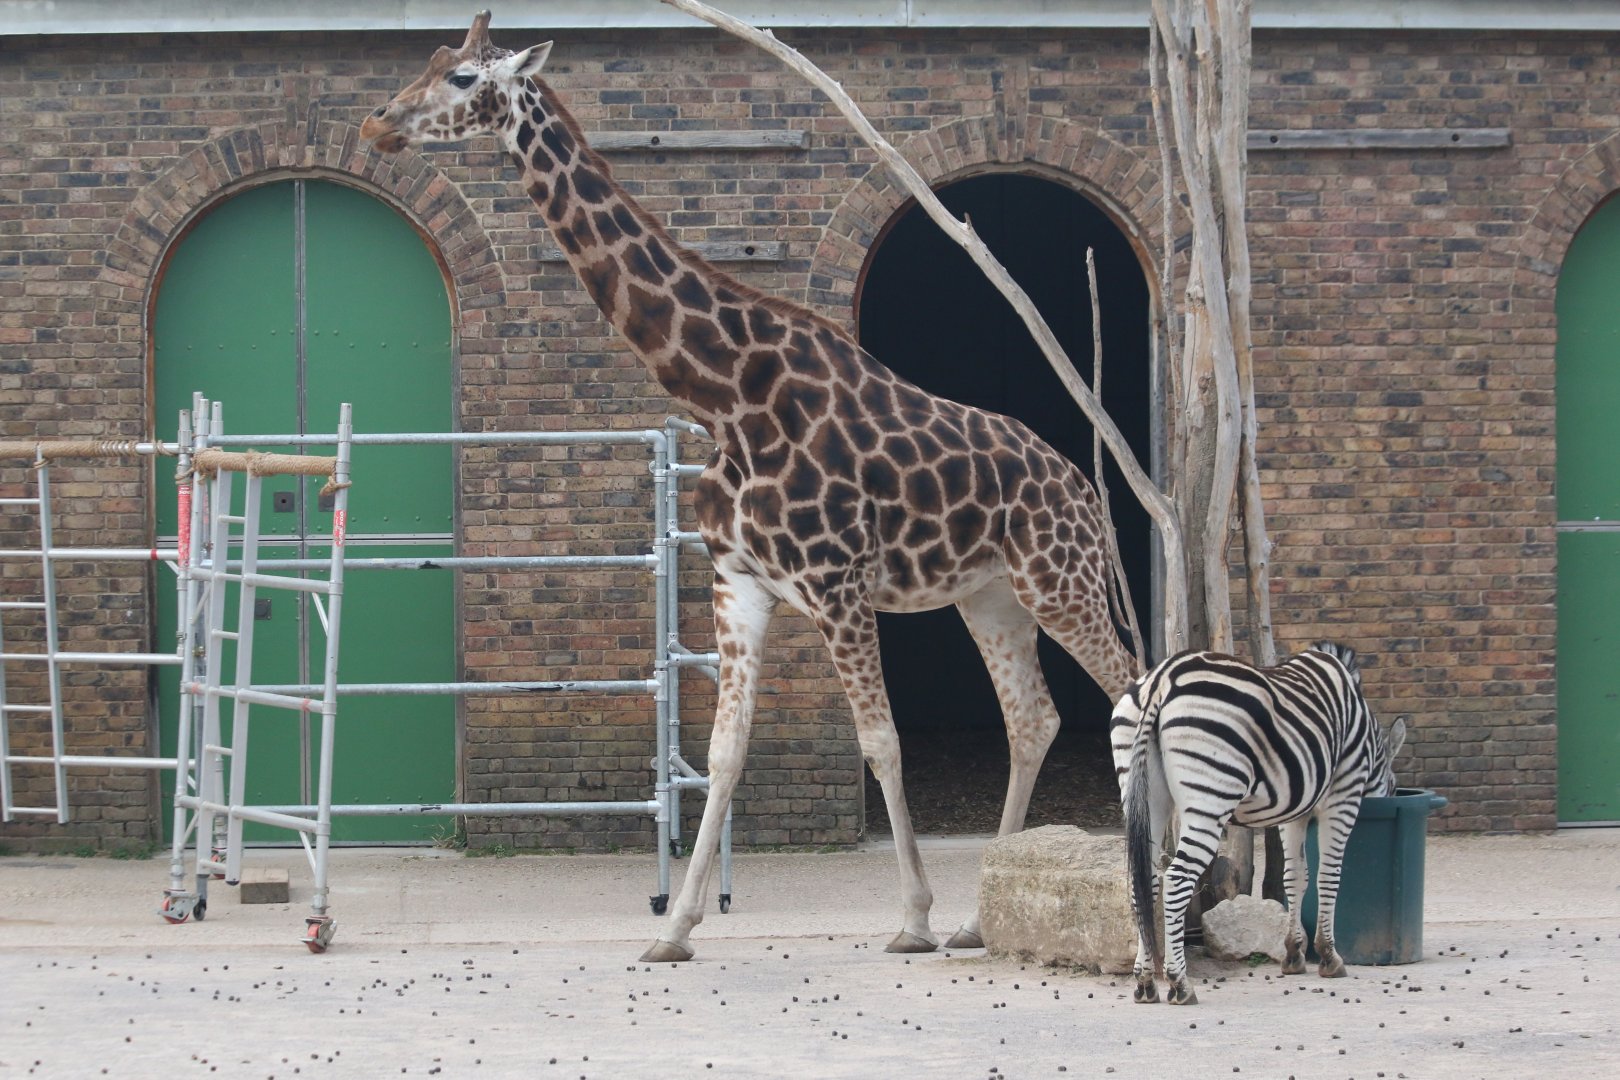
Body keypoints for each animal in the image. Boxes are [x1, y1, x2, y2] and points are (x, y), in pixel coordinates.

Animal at [362, 11, 1140, 963]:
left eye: (465, 77)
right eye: (428, 60)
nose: (380, 124)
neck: (727, 394)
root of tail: (1085, 490)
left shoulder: (837, 586)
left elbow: (880, 742)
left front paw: (912, 917)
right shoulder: (737, 582)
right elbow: (724, 753)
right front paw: (675, 930)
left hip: (1058, 580)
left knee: (1133, 686)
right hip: (990, 595)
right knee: (1034, 718)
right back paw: (977, 917)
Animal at [1109, 642, 1407, 1005]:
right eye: (1392, 787)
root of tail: (1161, 679)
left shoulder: (1295, 812)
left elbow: (1295, 877)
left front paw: (1294, 953)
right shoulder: (1343, 794)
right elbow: (1328, 876)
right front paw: (1328, 956)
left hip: (1143, 791)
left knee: (1144, 883)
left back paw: (1145, 981)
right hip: (1211, 795)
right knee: (1176, 880)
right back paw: (1180, 983)